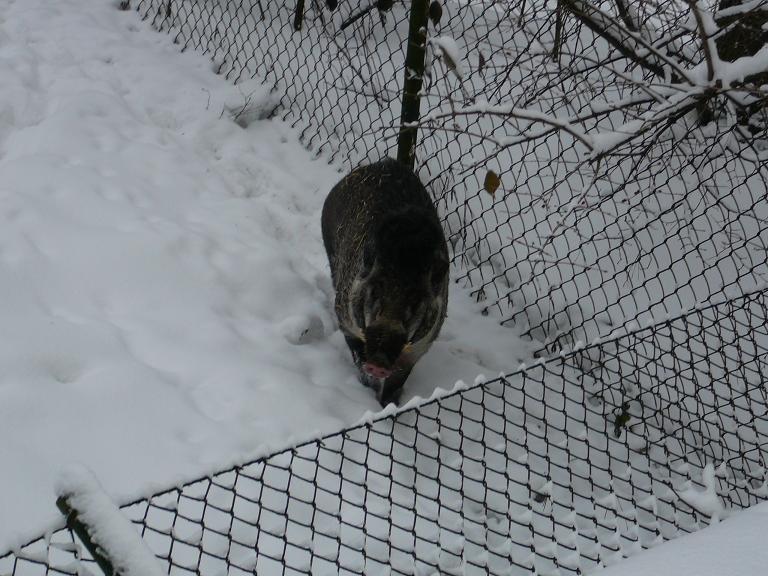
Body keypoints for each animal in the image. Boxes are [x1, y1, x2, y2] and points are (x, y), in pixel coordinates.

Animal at [321, 158, 449, 406]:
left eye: (415, 301)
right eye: (376, 289)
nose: (379, 362)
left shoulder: (420, 346)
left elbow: (398, 379)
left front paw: (390, 405)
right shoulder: (346, 320)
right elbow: (359, 359)